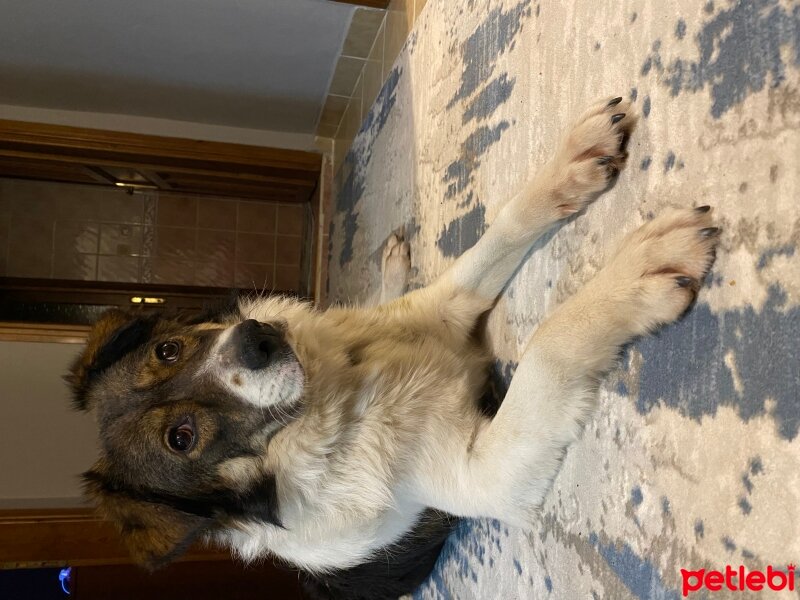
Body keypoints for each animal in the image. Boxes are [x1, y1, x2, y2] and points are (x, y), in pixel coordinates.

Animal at [67, 96, 720, 596]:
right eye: (180, 438)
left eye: (169, 350)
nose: (257, 337)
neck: (348, 391)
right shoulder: (487, 473)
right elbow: (548, 343)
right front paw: (639, 273)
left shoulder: (449, 303)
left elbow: (506, 225)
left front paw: (574, 161)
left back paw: (393, 261)